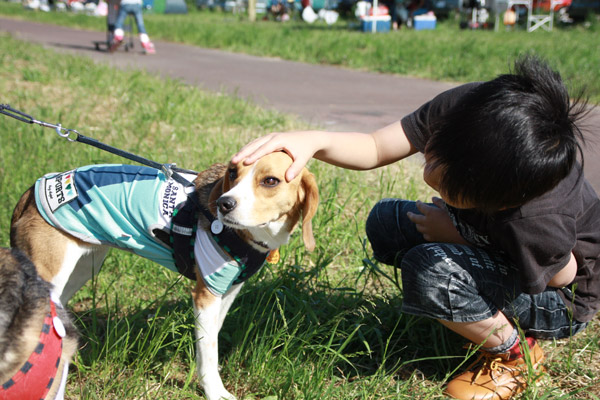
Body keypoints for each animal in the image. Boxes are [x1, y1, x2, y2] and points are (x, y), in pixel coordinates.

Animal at [10, 151, 318, 400]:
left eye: (270, 181)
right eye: (233, 173)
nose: (224, 204)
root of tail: (31, 191)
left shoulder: (227, 290)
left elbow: (211, 340)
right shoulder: (206, 294)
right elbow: (209, 351)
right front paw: (214, 391)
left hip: (83, 269)